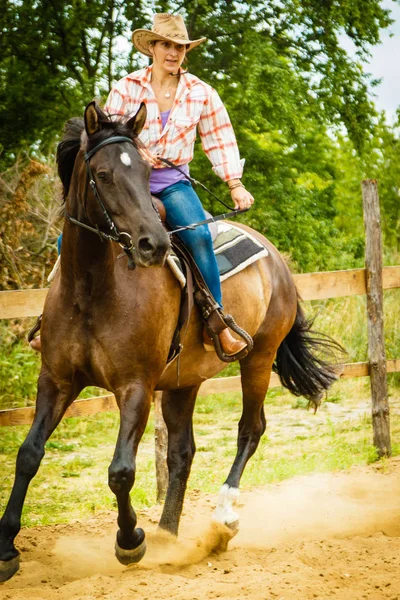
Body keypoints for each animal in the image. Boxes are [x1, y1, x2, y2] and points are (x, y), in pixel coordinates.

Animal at [0, 102, 340, 580]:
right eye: (103, 174)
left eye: (146, 171)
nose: (153, 245)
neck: (91, 288)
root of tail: (275, 258)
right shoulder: (57, 380)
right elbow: (29, 454)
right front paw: (6, 547)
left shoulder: (136, 387)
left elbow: (121, 471)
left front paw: (130, 542)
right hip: (184, 381)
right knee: (182, 452)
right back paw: (167, 535)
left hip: (258, 359)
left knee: (250, 429)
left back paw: (222, 517)